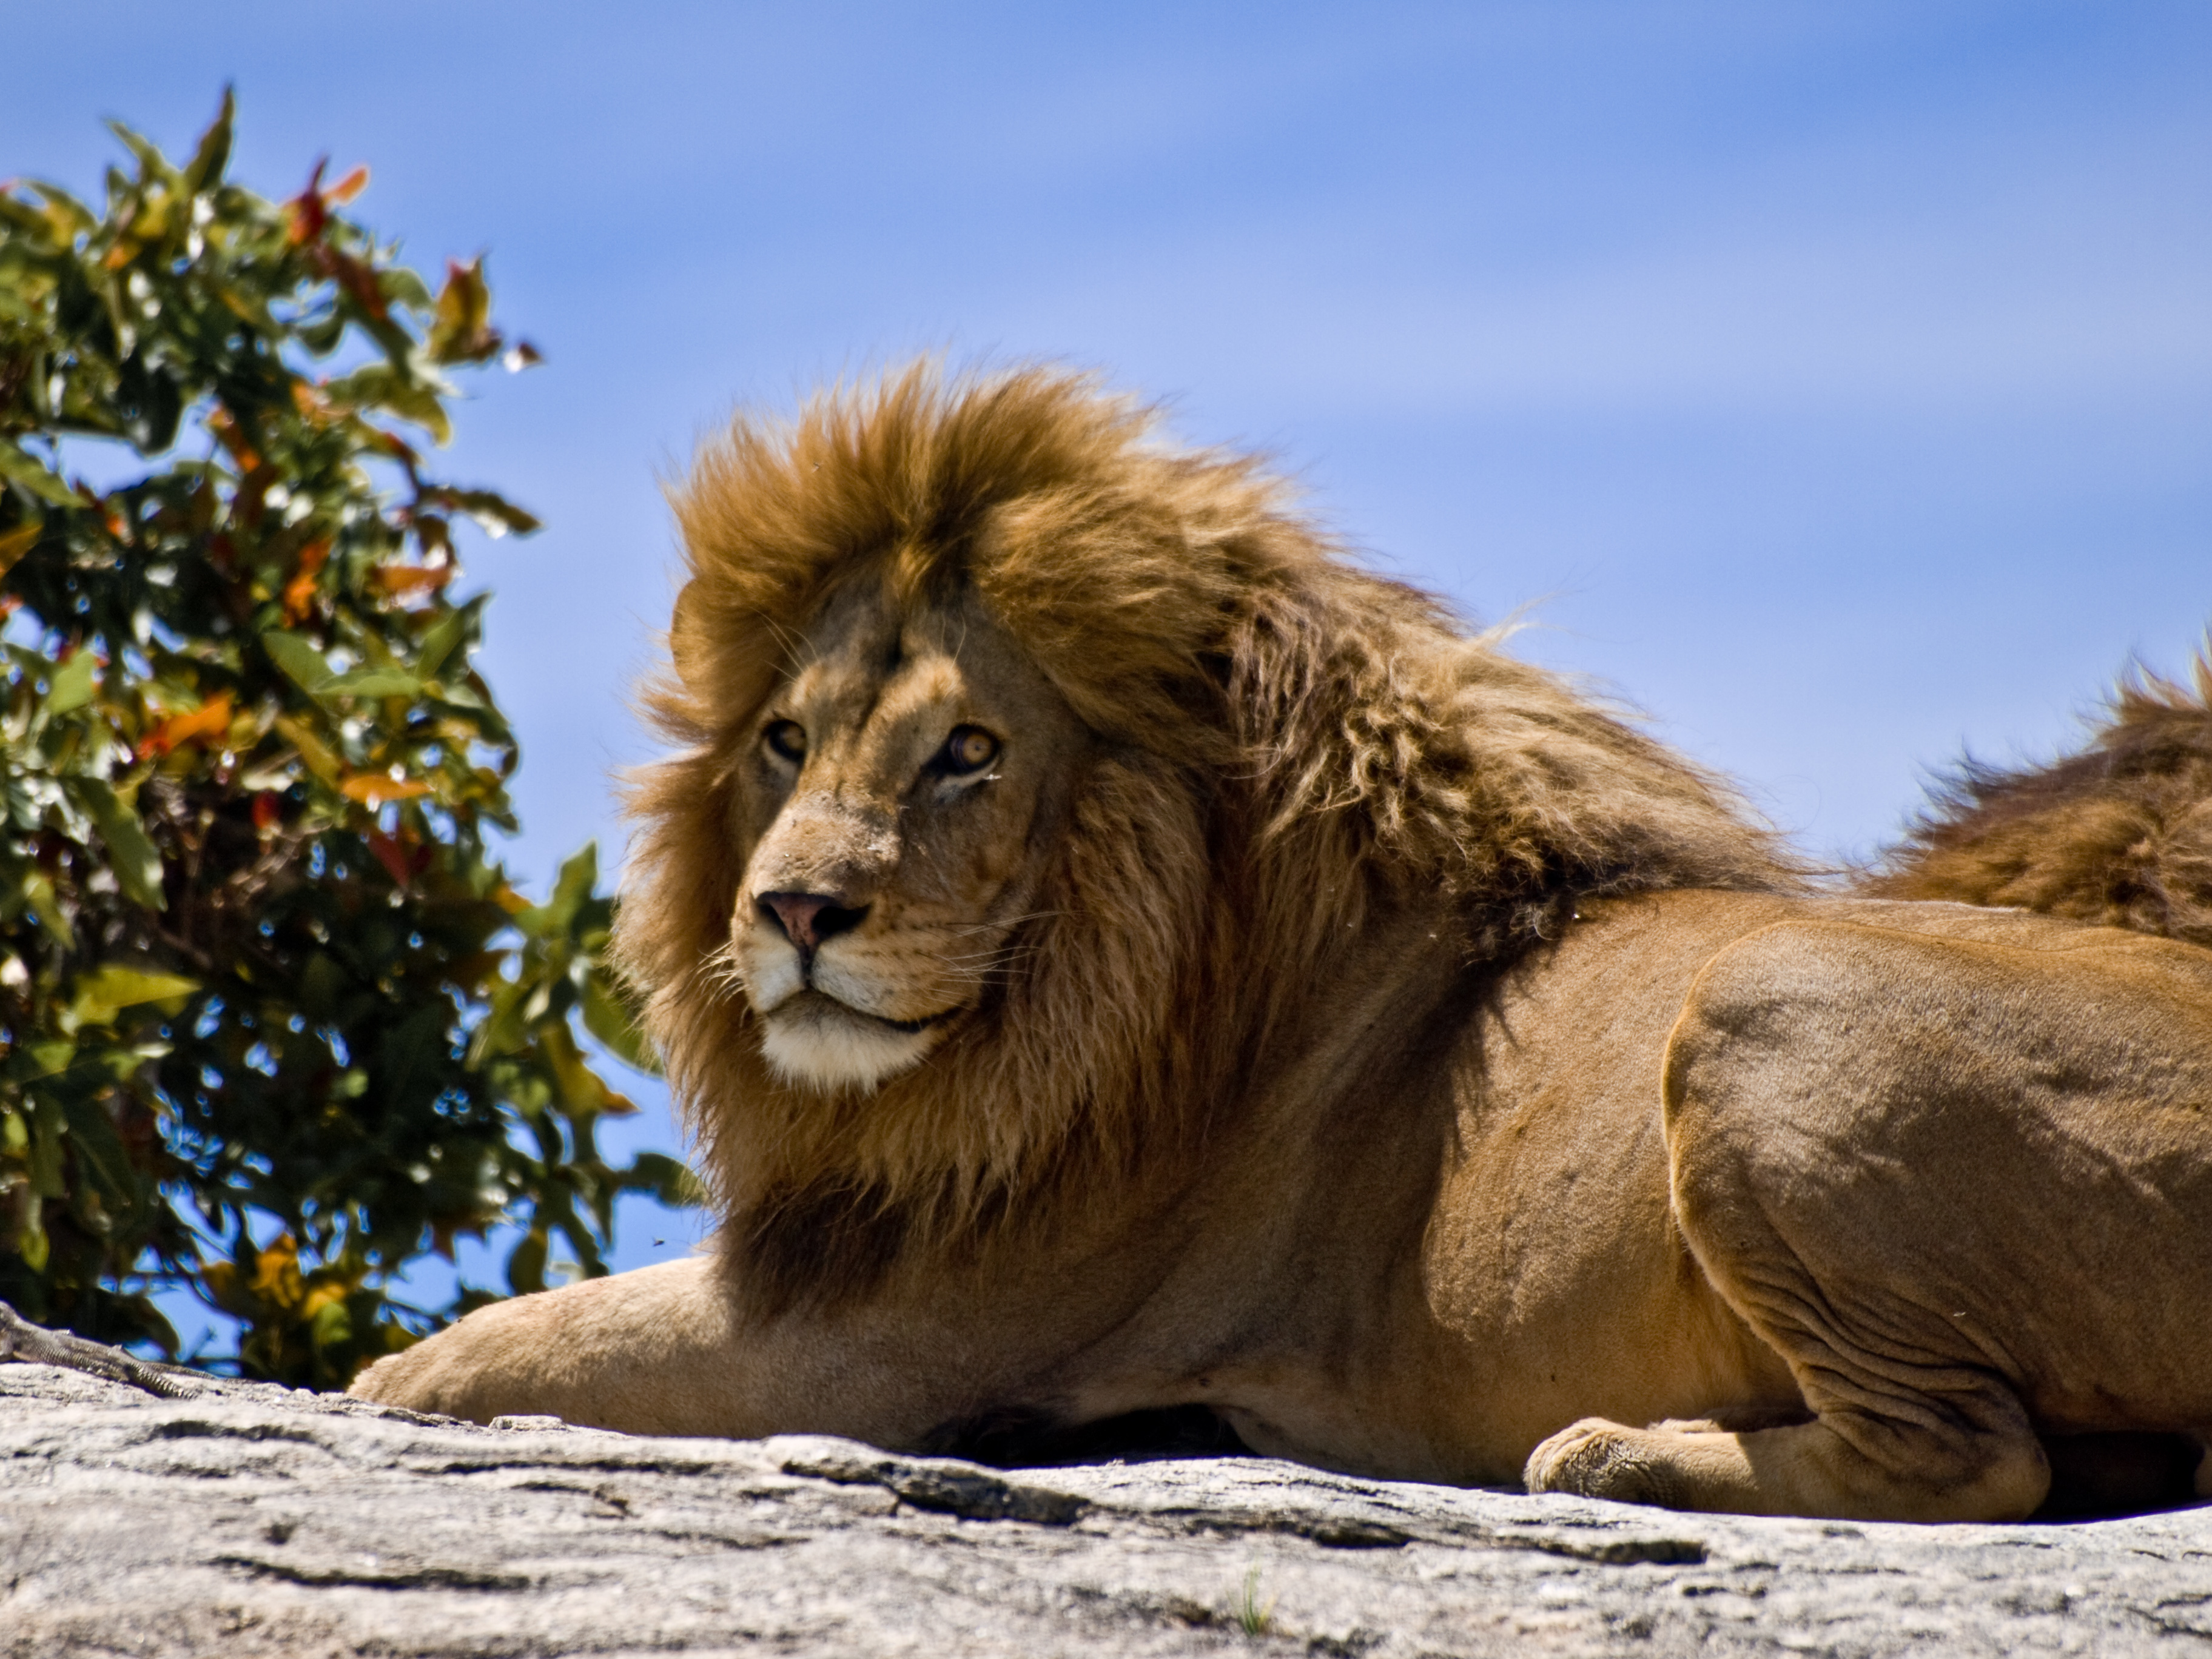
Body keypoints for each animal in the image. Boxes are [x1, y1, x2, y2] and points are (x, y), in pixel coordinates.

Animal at [350, 363, 2212, 1524]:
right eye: (786, 744)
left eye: (969, 752)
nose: (795, 911)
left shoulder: (877, 1340)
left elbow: (498, 1346)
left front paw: (379, 1377)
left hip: (1759, 995)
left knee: (1973, 1458)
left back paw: (1613, 1457)